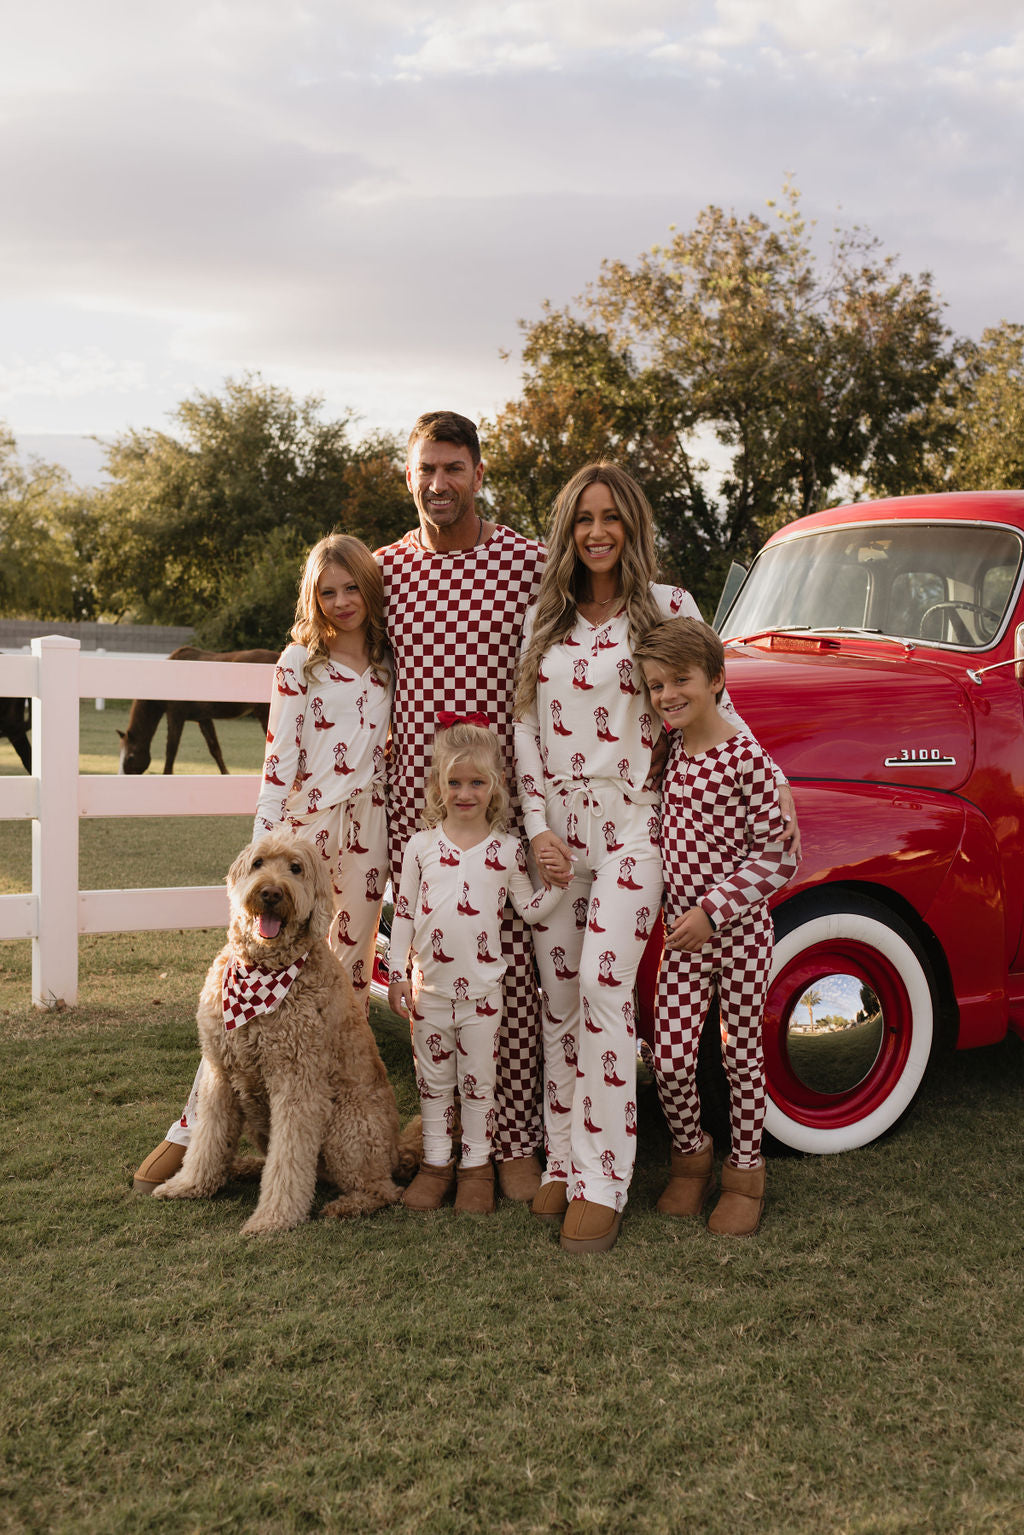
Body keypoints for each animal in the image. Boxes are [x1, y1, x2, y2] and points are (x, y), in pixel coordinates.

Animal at [154, 835, 417, 1228]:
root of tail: (397, 1150)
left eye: (296, 868)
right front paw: (189, 1185)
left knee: (383, 1189)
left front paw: (273, 1218)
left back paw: (347, 1204)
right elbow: (207, 1140)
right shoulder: (219, 1074)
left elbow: (289, 1159)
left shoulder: (297, 1083)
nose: (271, 893)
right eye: (258, 863)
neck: (262, 969)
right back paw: (246, 1166)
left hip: (346, 1123)